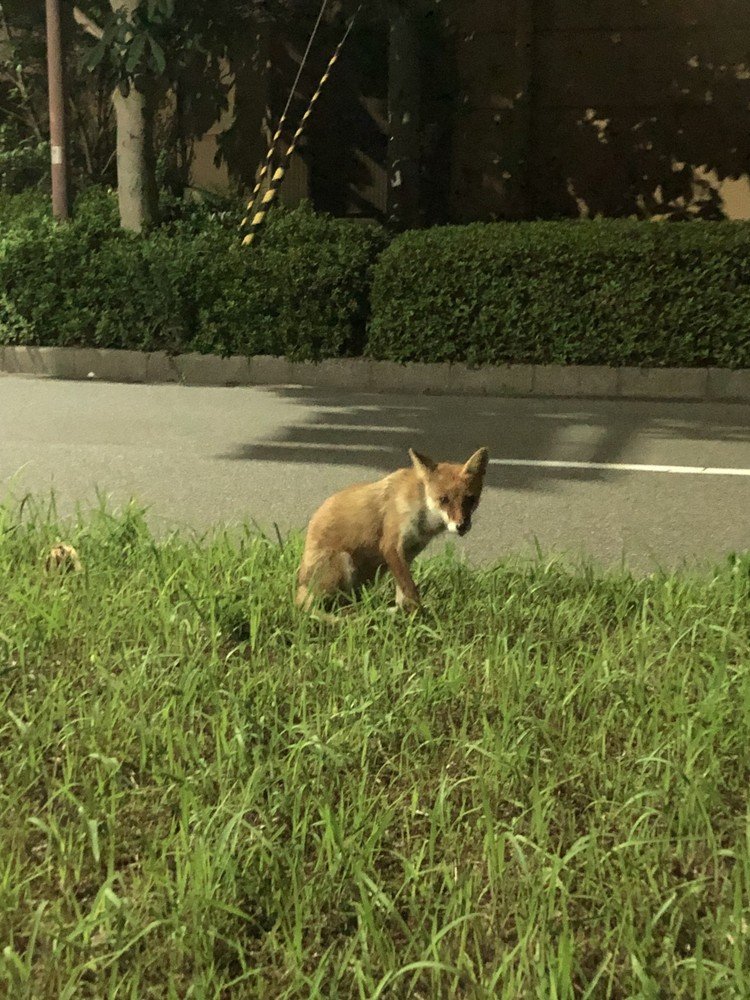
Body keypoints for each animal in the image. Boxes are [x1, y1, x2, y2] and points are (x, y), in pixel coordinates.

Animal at [296, 446, 490, 608]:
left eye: (470, 499)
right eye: (444, 500)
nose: (461, 525)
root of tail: (300, 586)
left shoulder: (409, 552)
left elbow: (403, 592)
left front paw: (406, 615)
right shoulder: (391, 545)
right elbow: (411, 591)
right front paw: (419, 616)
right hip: (344, 561)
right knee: (319, 609)